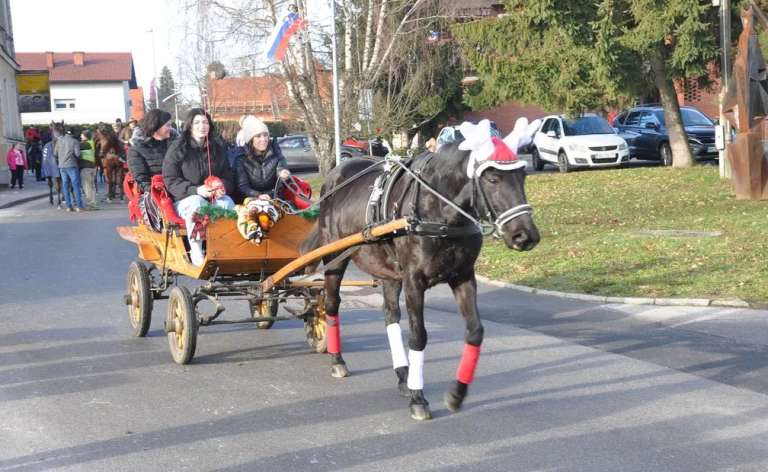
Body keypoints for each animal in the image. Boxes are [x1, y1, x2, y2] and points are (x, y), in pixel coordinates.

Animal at [302, 141, 540, 420]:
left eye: (523, 176)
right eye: (493, 178)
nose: (526, 235)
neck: (438, 213)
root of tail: (334, 176)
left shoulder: (463, 276)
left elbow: (475, 331)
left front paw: (456, 393)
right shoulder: (414, 282)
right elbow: (418, 336)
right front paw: (419, 397)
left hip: (389, 272)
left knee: (390, 315)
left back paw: (403, 374)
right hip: (335, 258)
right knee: (331, 305)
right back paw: (337, 359)